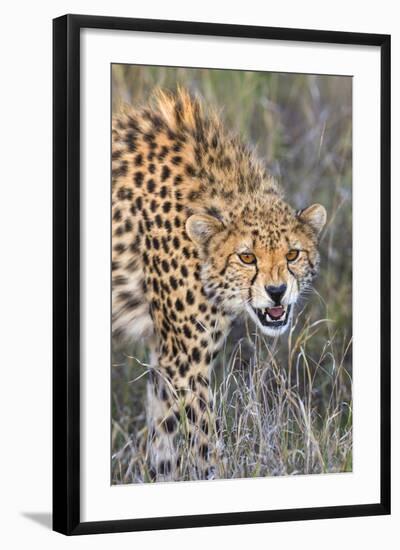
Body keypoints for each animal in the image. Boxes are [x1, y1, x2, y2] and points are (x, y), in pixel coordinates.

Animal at [111, 88, 326, 480]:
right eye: (247, 257)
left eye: (292, 254)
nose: (276, 292)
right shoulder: (185, 361)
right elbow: (203, 443)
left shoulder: (165, 355)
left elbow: (164, 439)